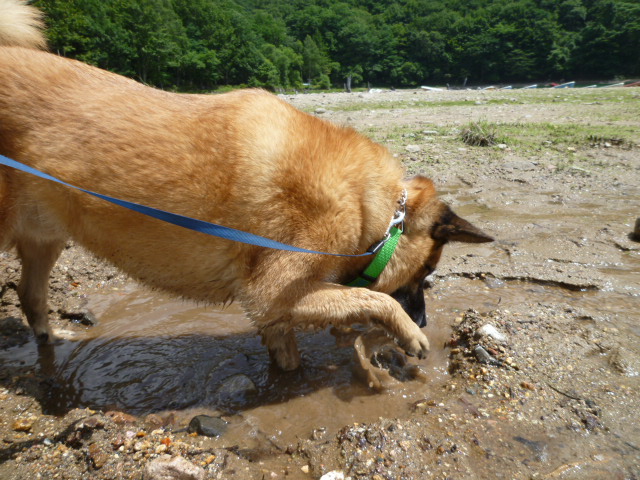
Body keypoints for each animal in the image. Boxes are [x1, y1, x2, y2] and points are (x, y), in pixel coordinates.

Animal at [0, 0, 492, 372]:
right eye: (426, 273)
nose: (425, 321)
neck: (376, 212)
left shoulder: (277, 311)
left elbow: (290, 355)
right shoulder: (273, 292)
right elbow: (371, 299)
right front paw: (406, 333)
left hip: (46, 237)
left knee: (30, 294)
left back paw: (49, 338)